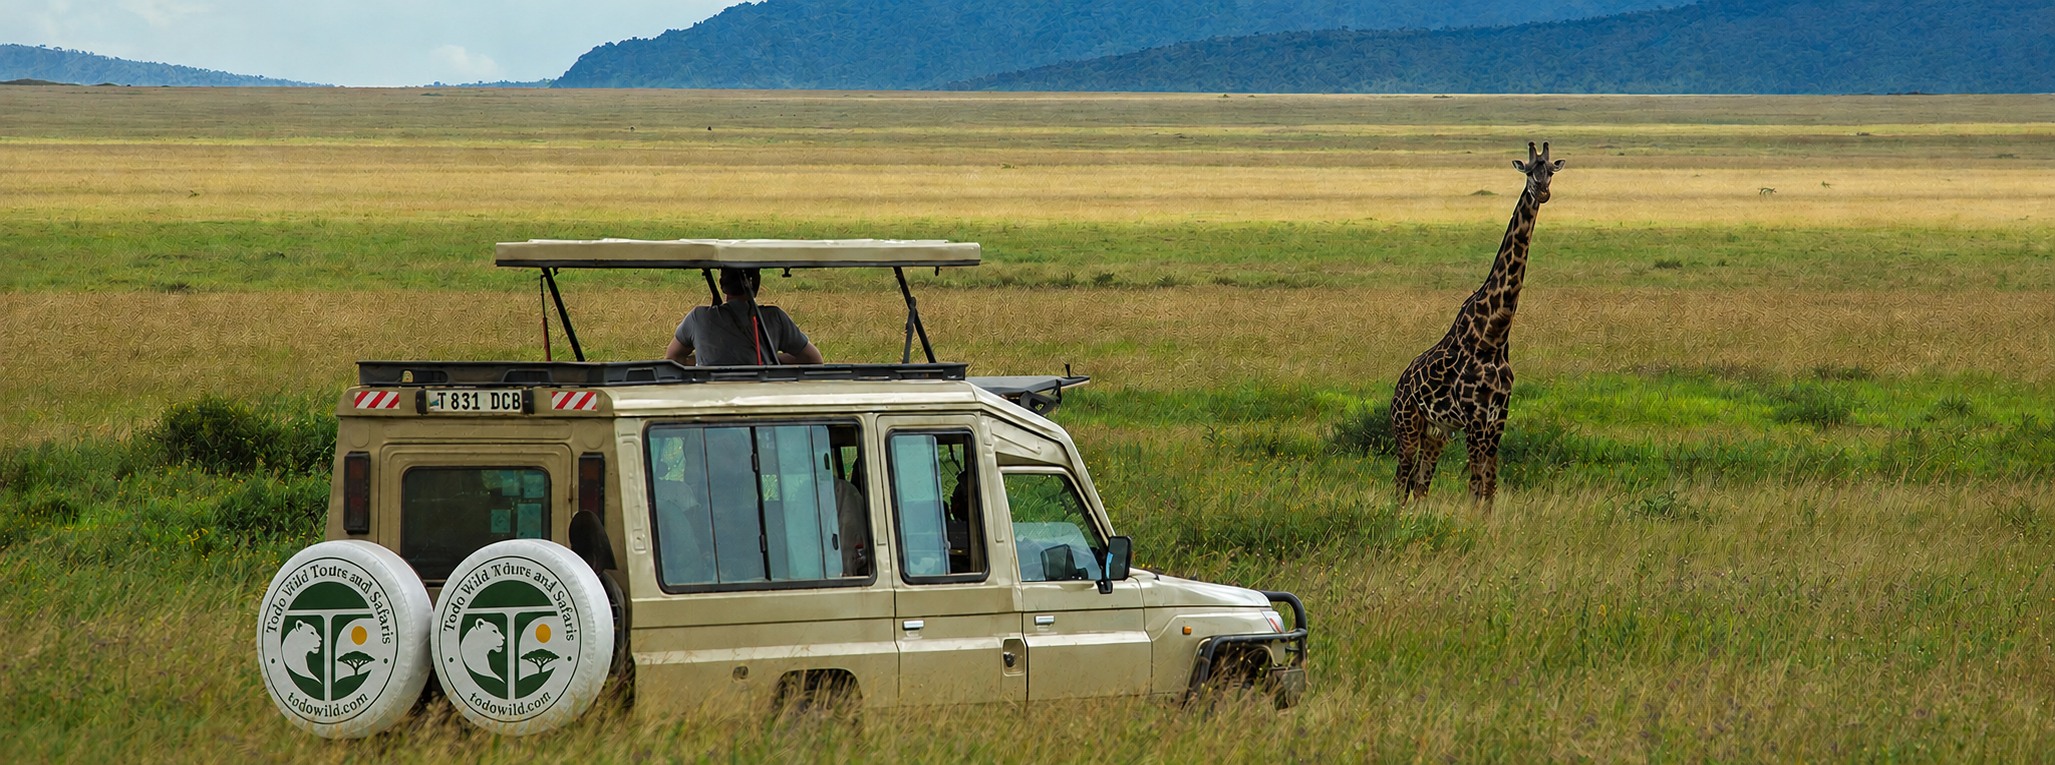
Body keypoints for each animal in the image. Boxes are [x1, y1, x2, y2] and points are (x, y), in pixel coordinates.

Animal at [1390, 141, 1564, 509]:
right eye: (1530, 171)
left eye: (1552, 172)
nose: (1542, 192)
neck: (1493, 335)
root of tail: (1398, 385)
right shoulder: (1474, 417)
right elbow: (1475, 485)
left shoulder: (1498, 416)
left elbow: (1489, 485)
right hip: (1406, 426)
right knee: (1400, 483)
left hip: (1436, 433)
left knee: (1420, 486)